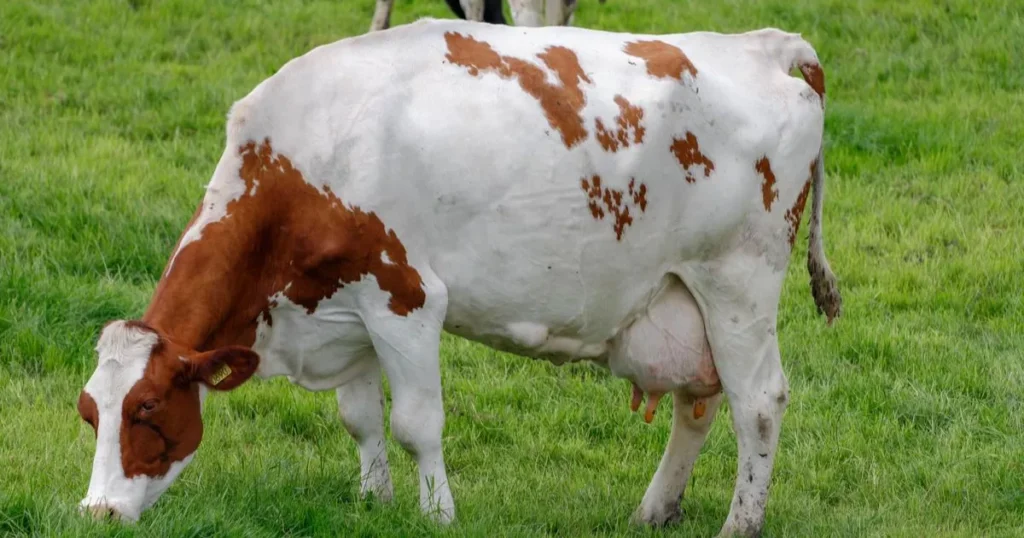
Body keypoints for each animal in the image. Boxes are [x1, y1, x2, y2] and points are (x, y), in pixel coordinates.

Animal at [74, 17, 839, 536]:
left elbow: (416, 423)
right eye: (90, 412)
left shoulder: (405, 297)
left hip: (737, 283)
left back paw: (739, 523)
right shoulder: (343, 303)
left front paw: (436, 514)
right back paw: (655, 509)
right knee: (698, 401)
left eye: (147, 410)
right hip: (680, 295)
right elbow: (359, 418)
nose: (96, 511)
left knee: (757, 403)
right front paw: (373, 500)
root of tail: (763, 45)